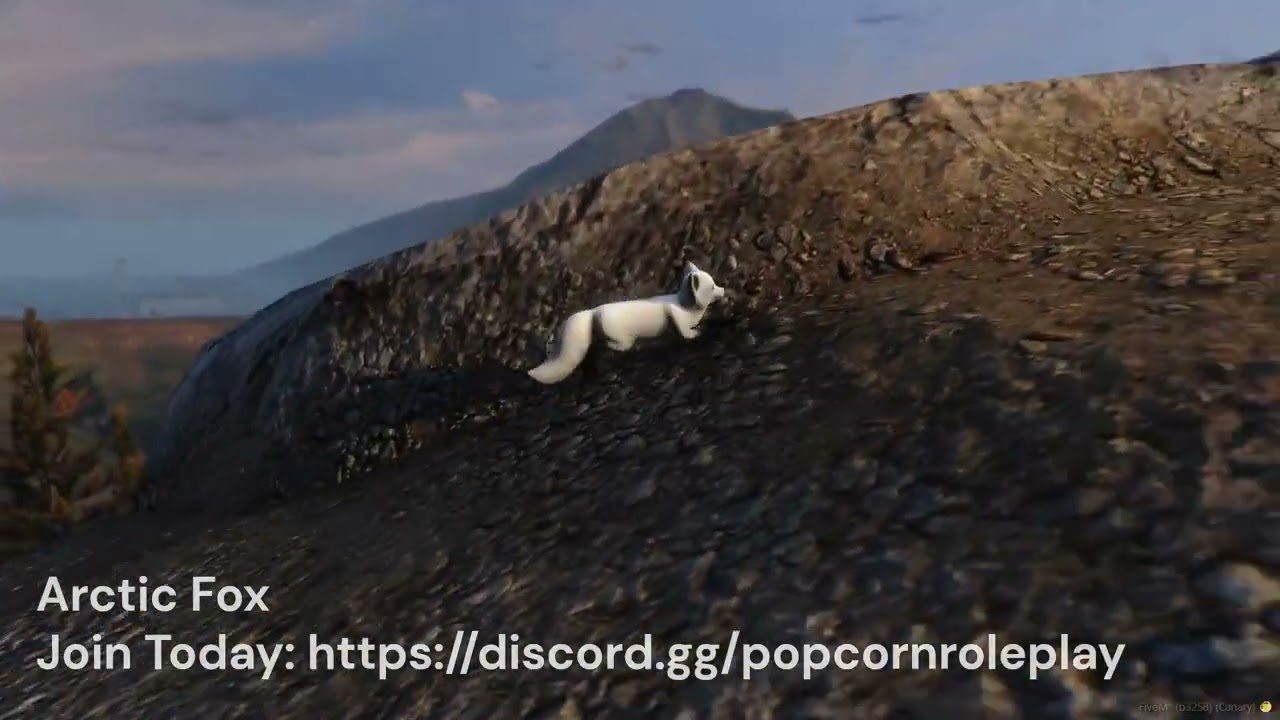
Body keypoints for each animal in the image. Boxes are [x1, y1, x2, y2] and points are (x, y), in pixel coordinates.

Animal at [527, 262, 728, 385]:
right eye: (712, 287)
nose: (724, 290)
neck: (686, 307)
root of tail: (593, 312)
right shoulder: (675, 316)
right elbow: (684, 331)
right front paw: (696, 333)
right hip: (623, 336)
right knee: (619, 345)